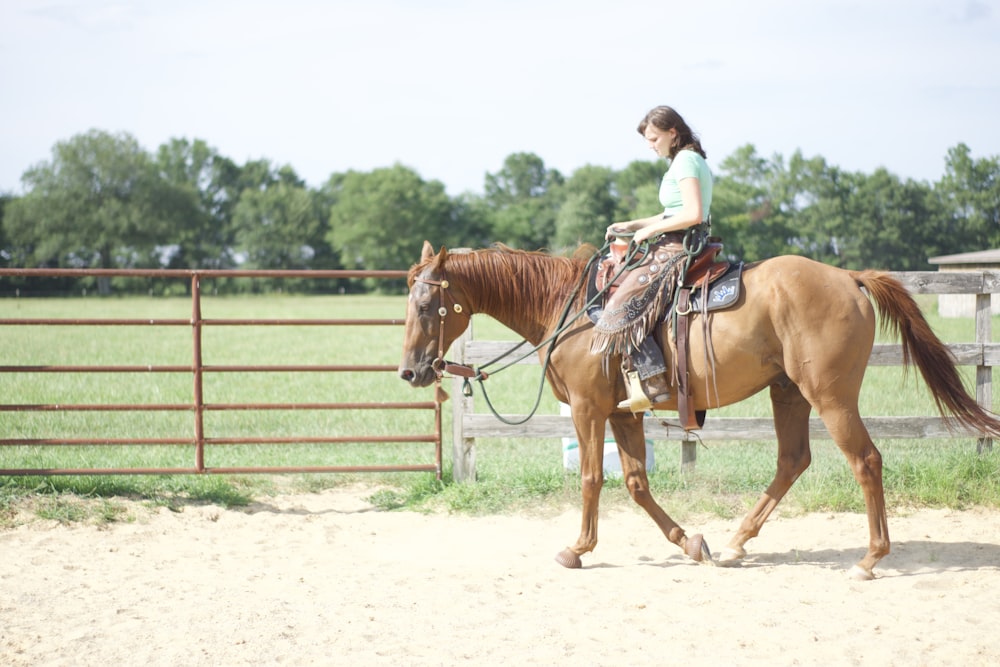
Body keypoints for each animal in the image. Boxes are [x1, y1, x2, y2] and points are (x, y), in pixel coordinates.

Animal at [398, 241, 1000, 580]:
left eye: (427, 305)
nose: (410, 372)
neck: (574, 313)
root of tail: (849, 277)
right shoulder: (625, 413)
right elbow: (636, 483)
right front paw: (691, 542)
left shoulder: (591, 410)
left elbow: (592, 478)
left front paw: (577, 549)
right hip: (788, 392)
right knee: (793, 461)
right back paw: (735, 544)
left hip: (830, 396)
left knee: (865, 461)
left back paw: (871, 559)